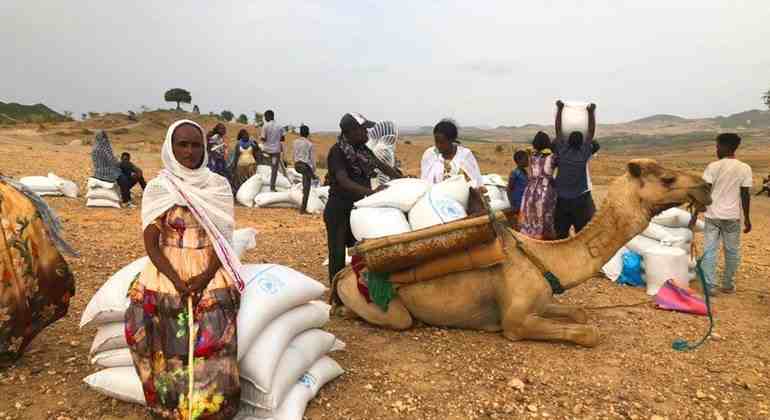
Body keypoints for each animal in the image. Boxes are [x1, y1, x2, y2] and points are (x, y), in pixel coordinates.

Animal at [336, 159, 708, 346]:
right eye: (668, 179)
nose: (705, 186)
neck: (545, 257)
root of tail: (346, 271)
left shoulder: (542, 301)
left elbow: (579, 314)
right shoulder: (515, 321)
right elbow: (588, 333)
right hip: (387, 308)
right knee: (397, 319)